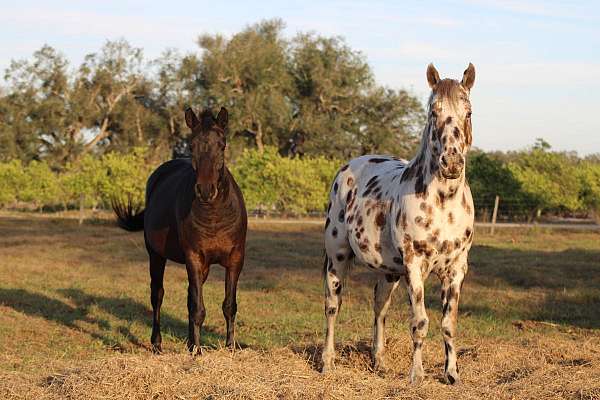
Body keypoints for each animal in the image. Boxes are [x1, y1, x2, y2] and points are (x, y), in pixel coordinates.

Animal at [113, 107, 247, 354]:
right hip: (156, 256)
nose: (206, 190)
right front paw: (197, 352)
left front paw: (229, 348)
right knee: (157, 295)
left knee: (188, 298)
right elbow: (198, 308)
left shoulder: (235, 259)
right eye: (192, 145)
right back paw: (157, 344)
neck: (214, 215)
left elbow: (228, 306)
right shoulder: (193, 258)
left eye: (222, 145)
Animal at [322, 64, 476, 386]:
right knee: (332, 306)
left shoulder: (456, 269)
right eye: (433, 112)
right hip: (337, 258)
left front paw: (451, 373)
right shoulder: (415, 266)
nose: (451, 163)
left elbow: (448, 322)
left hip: (389, 271)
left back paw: (378, 362)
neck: (444, 203)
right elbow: (419, 322)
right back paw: (327, 362)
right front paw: (416, 375)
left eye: (468, 112)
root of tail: (350, 167)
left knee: (380, 308)